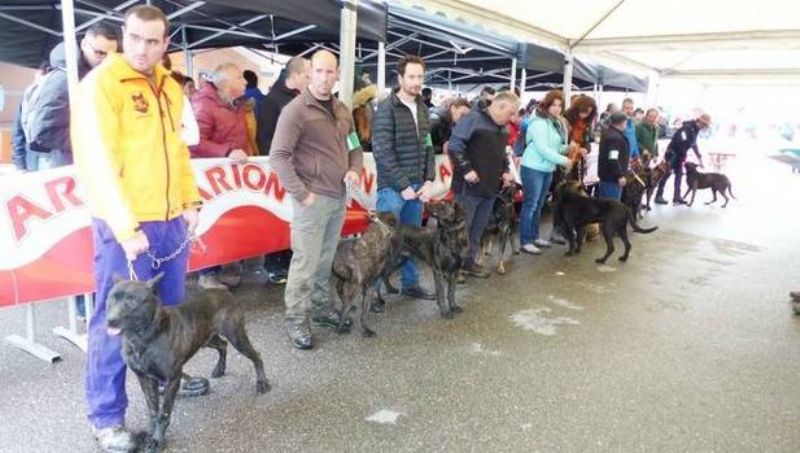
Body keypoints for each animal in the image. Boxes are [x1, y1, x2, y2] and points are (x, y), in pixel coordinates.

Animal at [106, 276, 270, 452]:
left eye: (132, 300)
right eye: (110, 299)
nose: (110, 320)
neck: (141, 338)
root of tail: (225, 292)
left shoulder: (172, 379)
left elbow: (164, 413)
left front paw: (158, 439)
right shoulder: (145, 379)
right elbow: (153, 411)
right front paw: (152, 434)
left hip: (236, 336)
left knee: (256, 355)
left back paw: (262, 382)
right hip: (206, 339)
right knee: (222, 345)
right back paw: (220, 369)